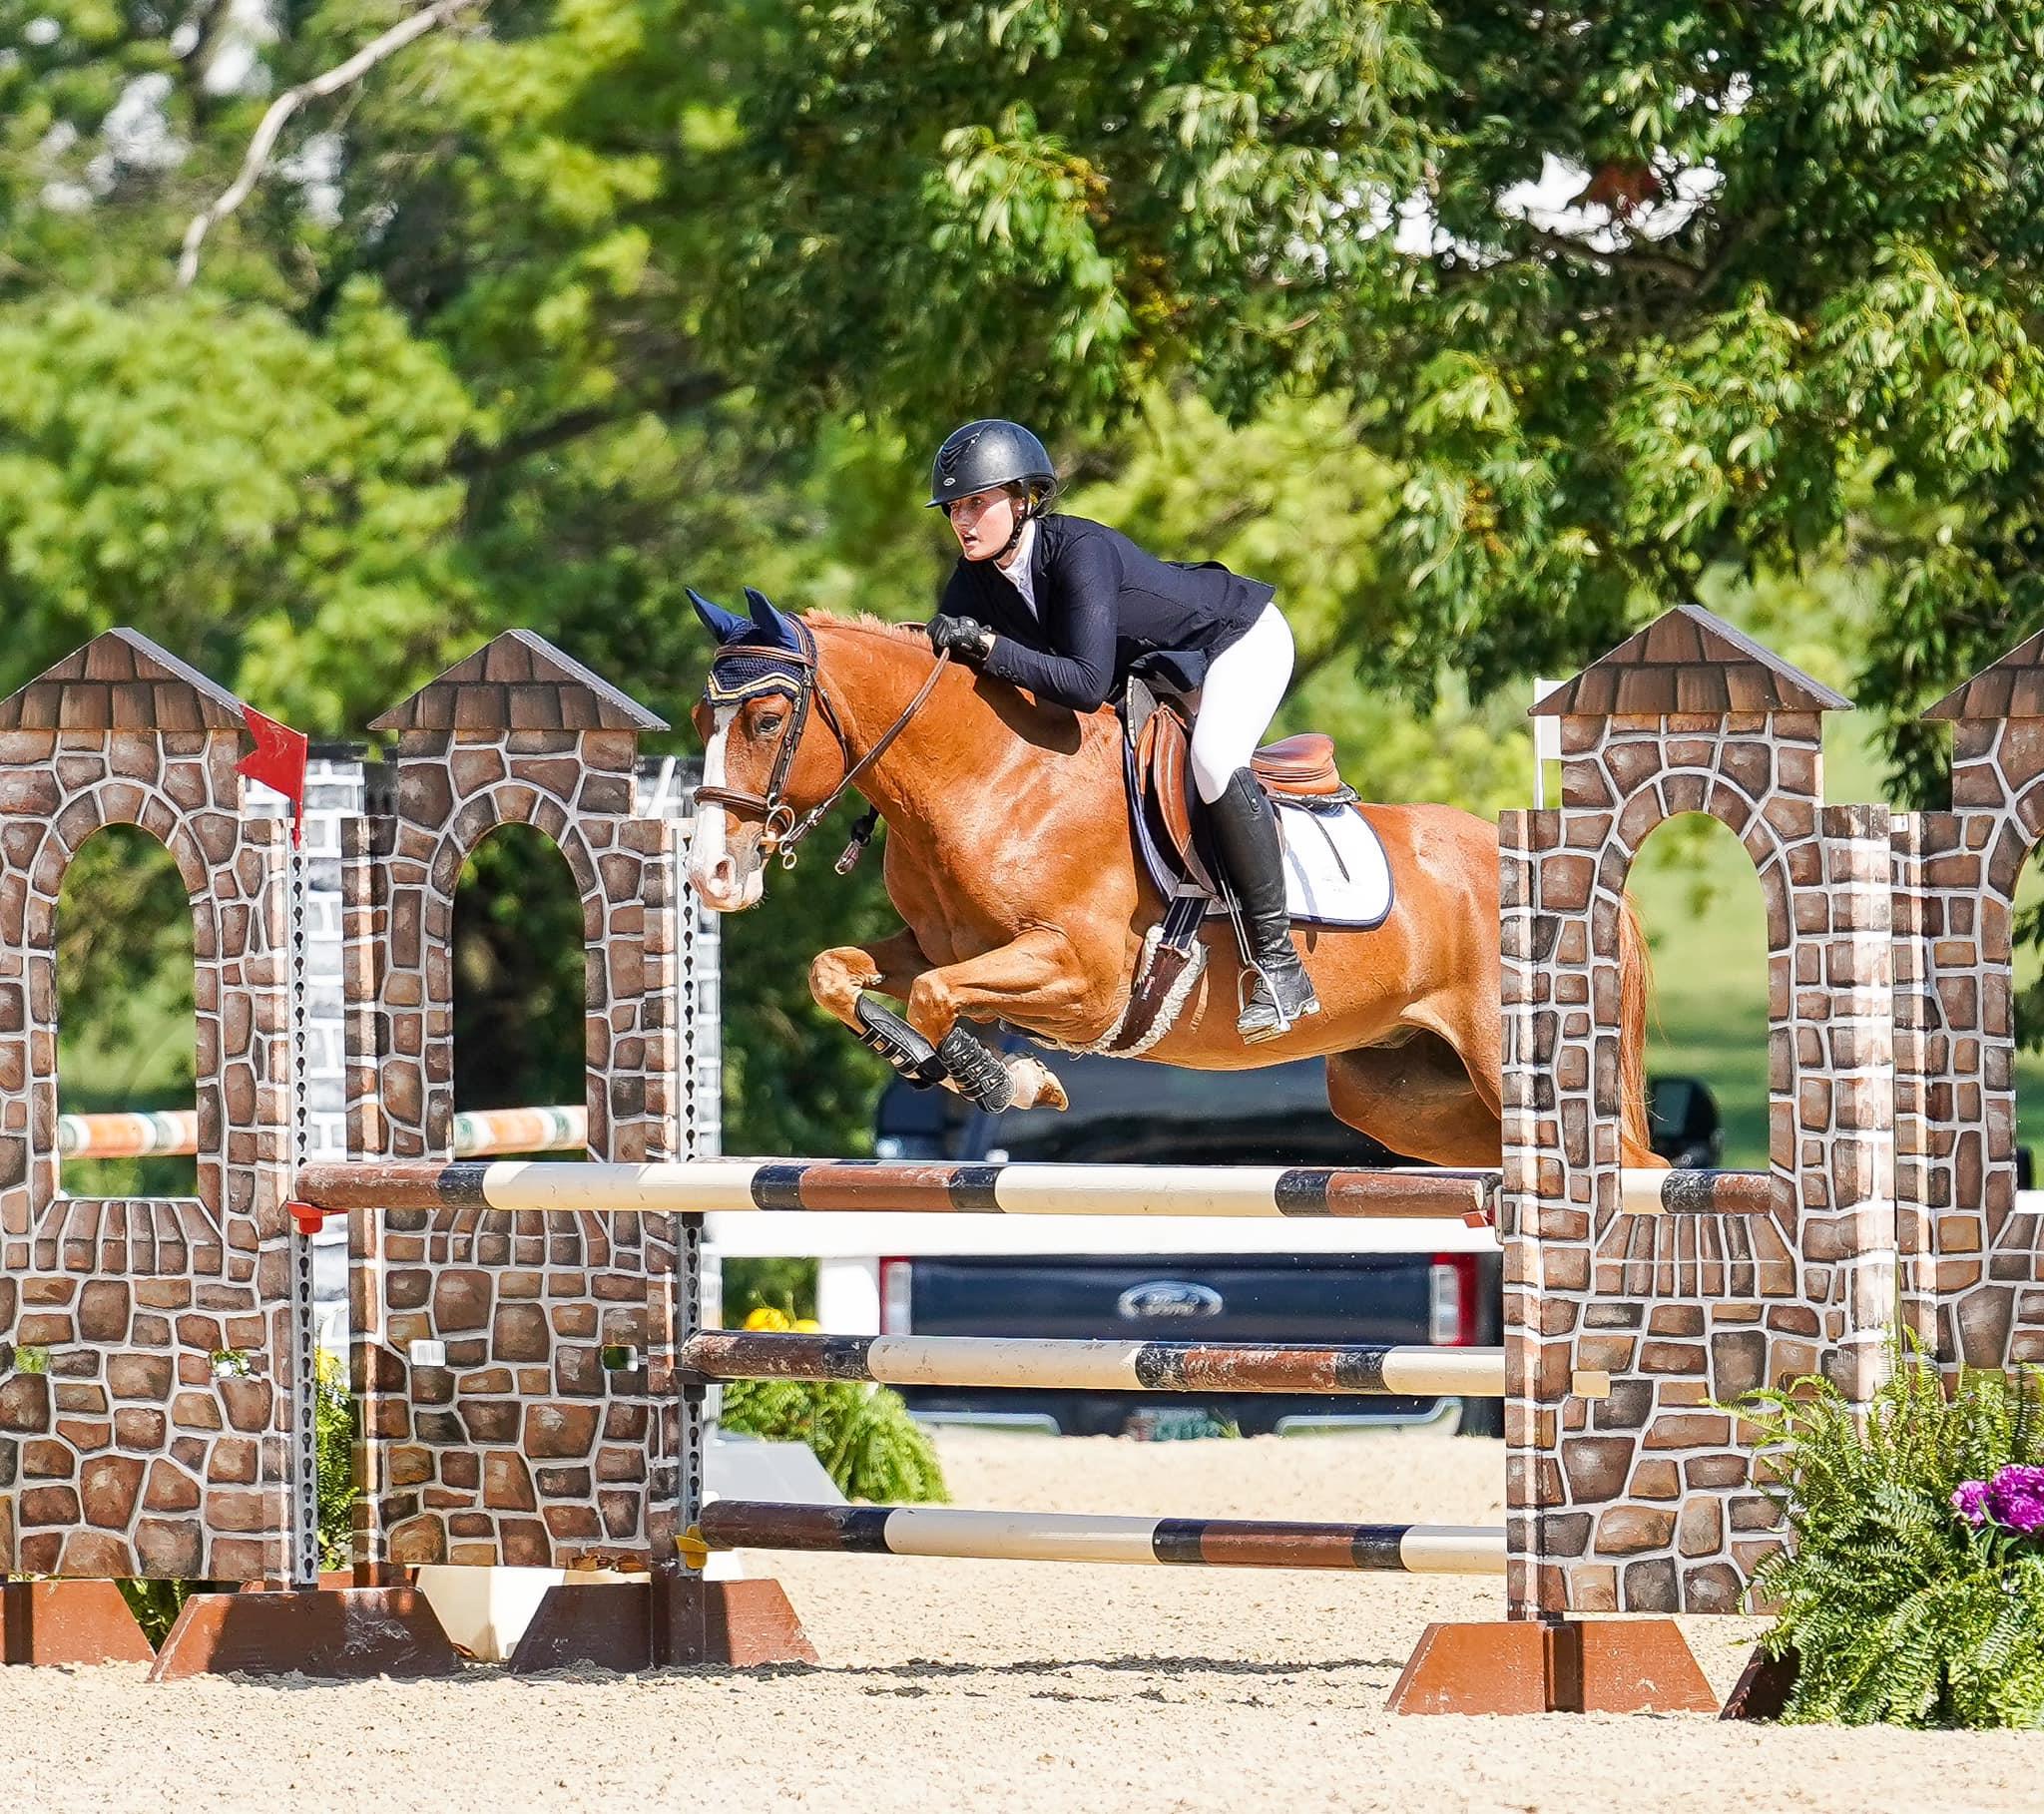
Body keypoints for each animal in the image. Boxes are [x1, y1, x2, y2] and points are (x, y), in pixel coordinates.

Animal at [684, 587, 1661, 1170]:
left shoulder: (1087, 981)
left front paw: (1009, 1080)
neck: (991, 777)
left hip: (1508, 1063)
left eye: (766, 720)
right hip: (1400, 1094)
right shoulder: (939, 944)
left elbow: (932, 997)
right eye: (700, 716)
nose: (713, 875)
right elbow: (843, 973)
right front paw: (961, 1066)